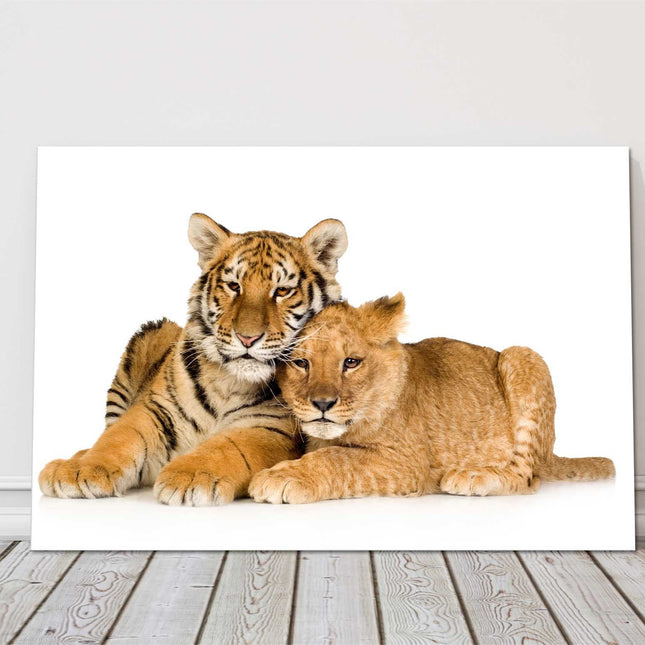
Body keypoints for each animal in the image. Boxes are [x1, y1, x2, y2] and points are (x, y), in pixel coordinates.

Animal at [38, 213, 348, 505]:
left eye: (282, 291)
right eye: (233, 286)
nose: (247, 338)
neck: (229, 380)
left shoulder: (271, 428)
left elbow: (229, 446)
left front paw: (190, 475)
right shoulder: (155, 409)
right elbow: (119, 437)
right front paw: (79, 470)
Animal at [249, 293, 615, 504]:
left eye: (351, 362)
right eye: (300, 363)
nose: (323, 404)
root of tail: (551, 453)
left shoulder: (407, 462)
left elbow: (339, 458)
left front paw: (281, 477)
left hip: (522, 356)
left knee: (528, 478)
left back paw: (473, 476)